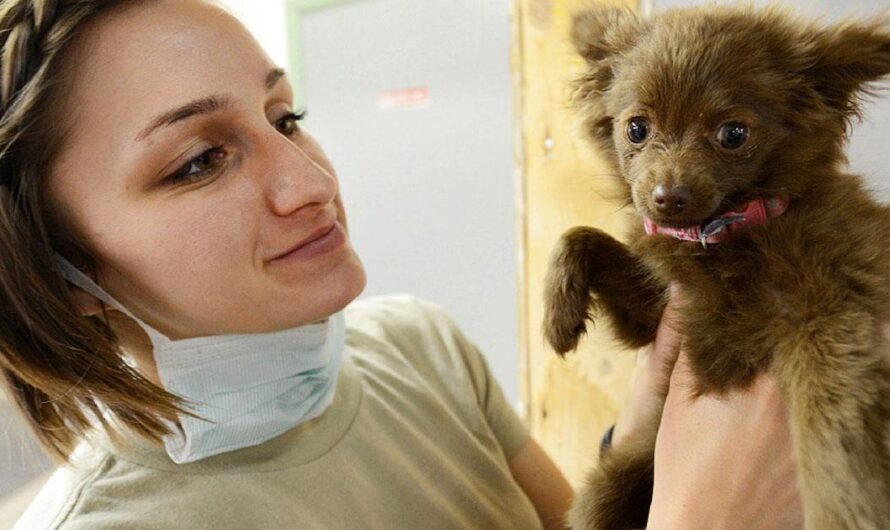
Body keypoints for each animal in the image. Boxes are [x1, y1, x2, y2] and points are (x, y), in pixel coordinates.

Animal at [540, 5, 888, 528]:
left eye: (733, 134)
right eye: (636, 128)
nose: (667, 197)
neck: (724, 237)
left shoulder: (838, 313)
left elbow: (829, 420)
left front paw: (843, 508)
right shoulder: (652, 317)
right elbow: (580, 236)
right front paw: (559, 315)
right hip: (616, 478)